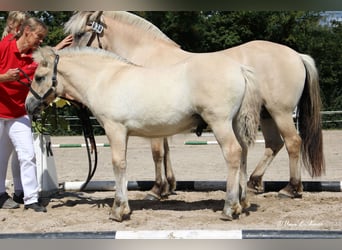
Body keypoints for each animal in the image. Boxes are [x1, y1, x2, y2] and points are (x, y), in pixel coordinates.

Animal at [26, 45, 260, 221]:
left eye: (39, 77)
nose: (29, 106)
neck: (105, 78)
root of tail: (240, 69)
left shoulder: (115, 129)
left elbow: (118, 164)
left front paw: (118, 210)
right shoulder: (124, 133)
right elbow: (123, 166)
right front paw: (123, 207)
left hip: (220, 123)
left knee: (233, 154)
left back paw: (229, 208)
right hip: (234, 124)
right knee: (243, 154)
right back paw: (241, 203)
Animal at [65, 11, 326, 199]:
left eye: (79, 34)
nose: (64, 53)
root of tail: (297, 55)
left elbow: (157, 153)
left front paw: (157, 189)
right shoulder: (161, 122)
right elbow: (166, 153)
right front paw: (169, 186)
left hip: (280, 112)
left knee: (293, 143)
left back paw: (291, 188)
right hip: (266, 115)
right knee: (274, 145)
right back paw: (254, 183)